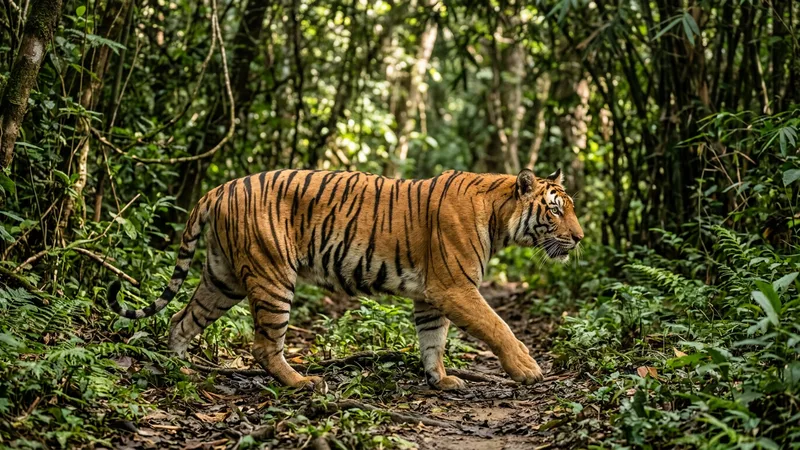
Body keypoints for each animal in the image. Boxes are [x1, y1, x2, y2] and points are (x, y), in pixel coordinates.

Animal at [107, 168, 583, 390]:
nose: (579, 238)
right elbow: (498, 327)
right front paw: (527, 370)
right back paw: (301, 383)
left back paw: (179, 370)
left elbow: (433, 340)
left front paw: (440, 379)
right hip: (272, 276)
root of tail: (219, 188)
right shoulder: (455, 287)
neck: (500, 217)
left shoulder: (432, 295)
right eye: (556, 209)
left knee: (180, 320)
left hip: (222, 279)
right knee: (264, 345)